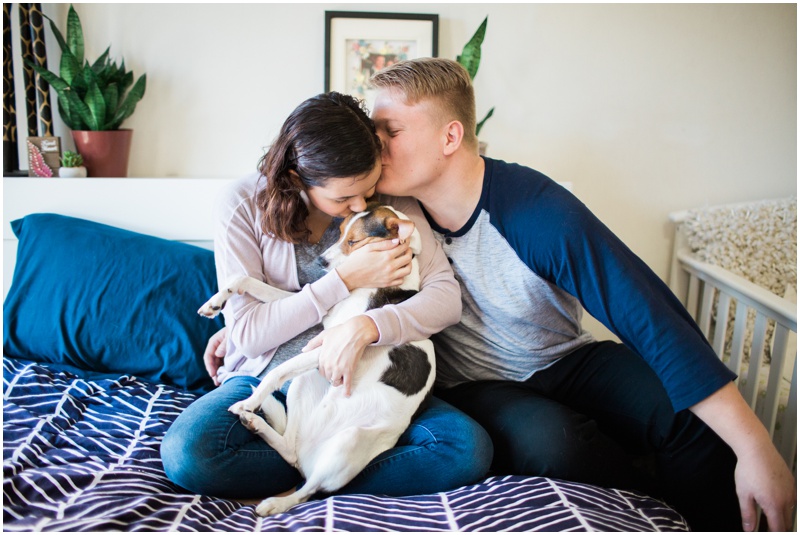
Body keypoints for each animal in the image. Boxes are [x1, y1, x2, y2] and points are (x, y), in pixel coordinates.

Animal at [200, 203, 438, 516]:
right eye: (340, 232)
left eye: (354, 241)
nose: (322, 262)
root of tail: (309, 454)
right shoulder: (317, 316)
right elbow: (245, 280)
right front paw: (215, 302)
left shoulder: (333, 344)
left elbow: (277, 372)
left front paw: (250, 401)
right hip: (305, 384)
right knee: (289, 450)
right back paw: (258, 422)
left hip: (347, 443)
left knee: (308, 491)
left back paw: (275, 502)